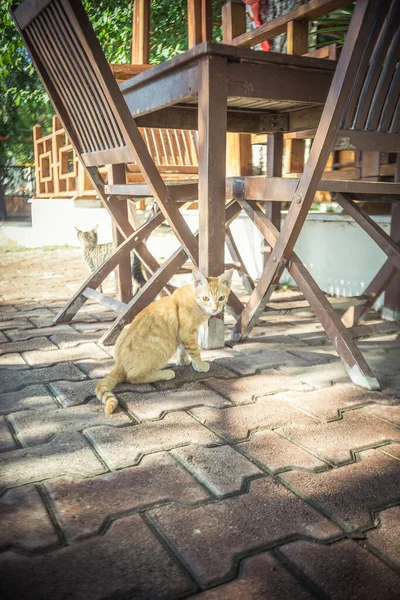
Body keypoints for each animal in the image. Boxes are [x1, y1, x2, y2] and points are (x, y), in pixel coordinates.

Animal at [95, 270, 233, 414]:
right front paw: (200, 365)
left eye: (221, 298)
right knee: (133, 378)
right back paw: (165, 373)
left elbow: (182, 349)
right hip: (159, 353)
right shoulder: (188, 333)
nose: (215, 309)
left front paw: (183, 361)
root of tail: (119, 364)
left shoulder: (181, 335)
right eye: (206, 298)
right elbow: (195, 351)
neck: (195, 301)